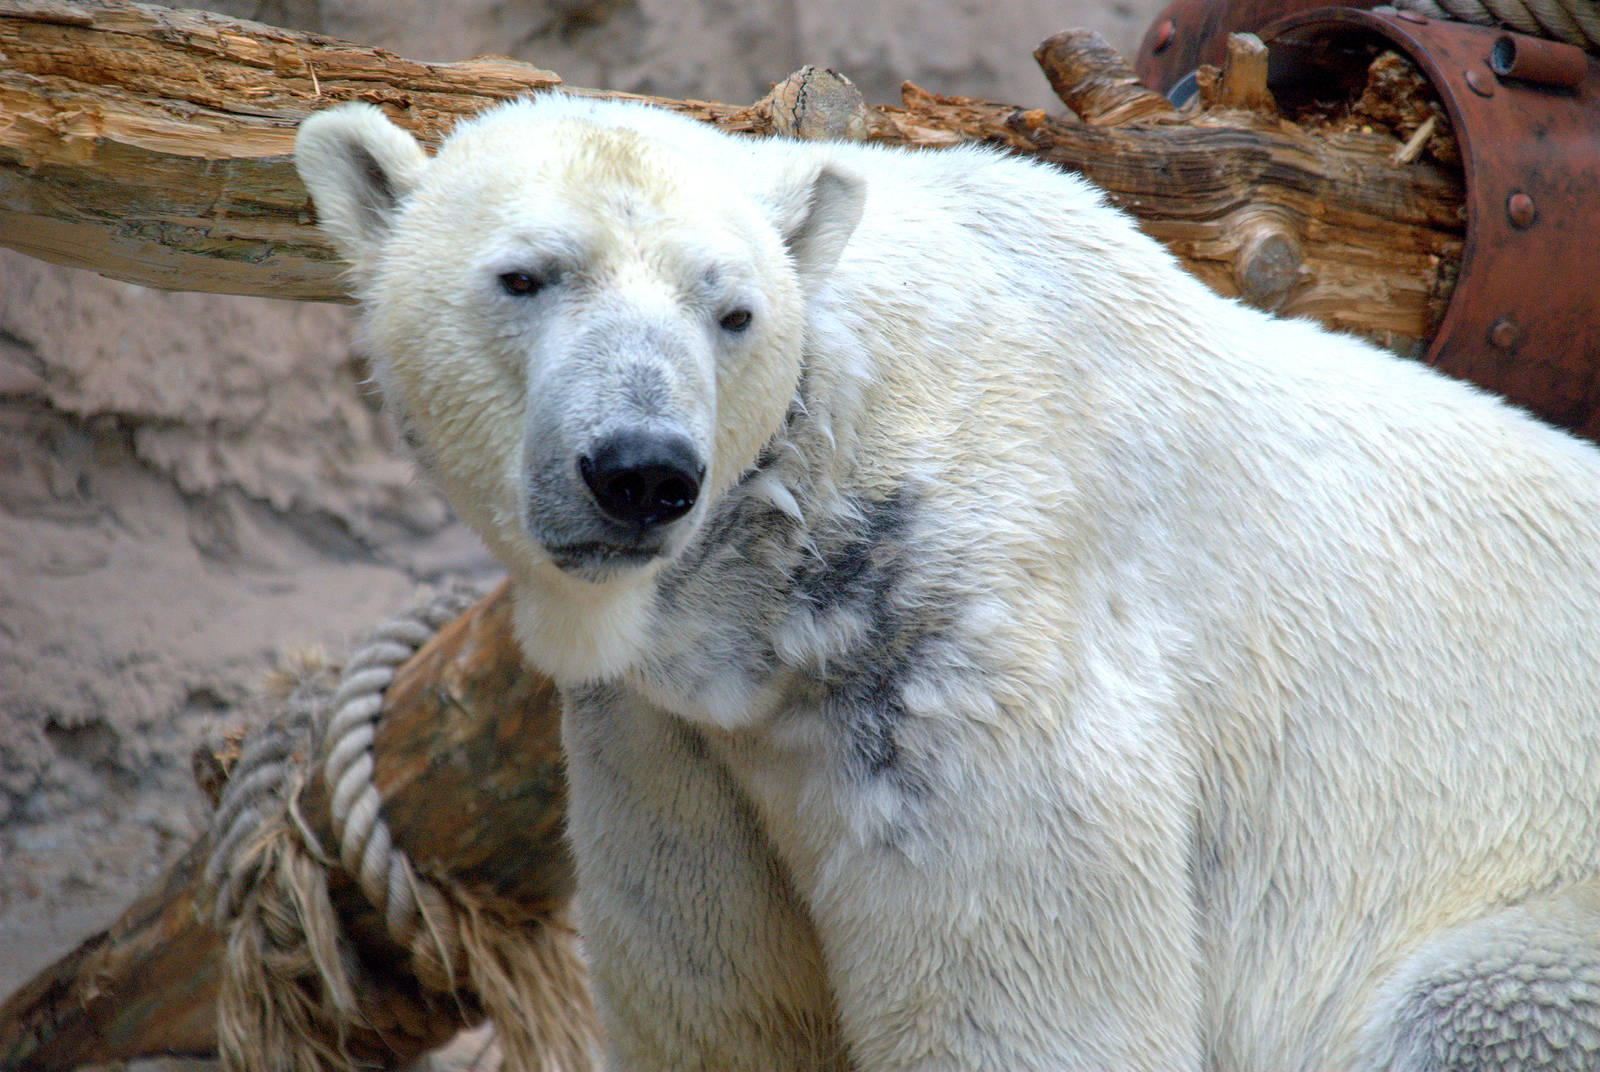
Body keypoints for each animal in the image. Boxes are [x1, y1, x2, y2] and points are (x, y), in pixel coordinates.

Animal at [295, 95, 1600, 1070]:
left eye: (734, 311)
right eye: (524, 276)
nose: (642, 471)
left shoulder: (965, 658)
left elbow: (1020, 989)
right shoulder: (672, 741)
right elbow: (725, 1003)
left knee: (1468, 1003)